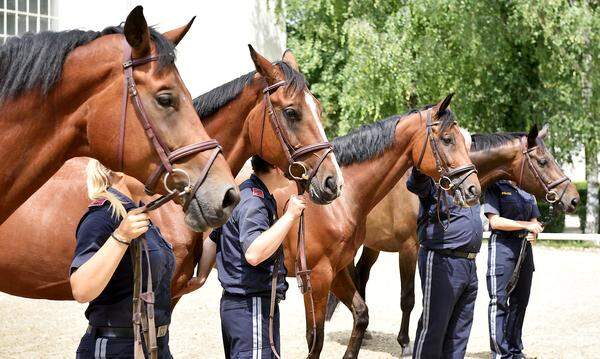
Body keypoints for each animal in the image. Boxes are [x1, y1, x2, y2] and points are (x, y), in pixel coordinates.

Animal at [272, 95, 482, 359]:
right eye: (447, 139)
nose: (473, 189)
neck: (337, 203)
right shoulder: (319, 277)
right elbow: (315, 339)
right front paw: (404, 344)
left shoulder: (336, 271)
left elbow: (361, 315)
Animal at [332, 122, 580, 352]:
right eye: (543, 161)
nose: (574, 199)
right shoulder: (409, 249)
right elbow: (409, 299)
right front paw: (405, 344)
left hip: (372, 245)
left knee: (362, 275)